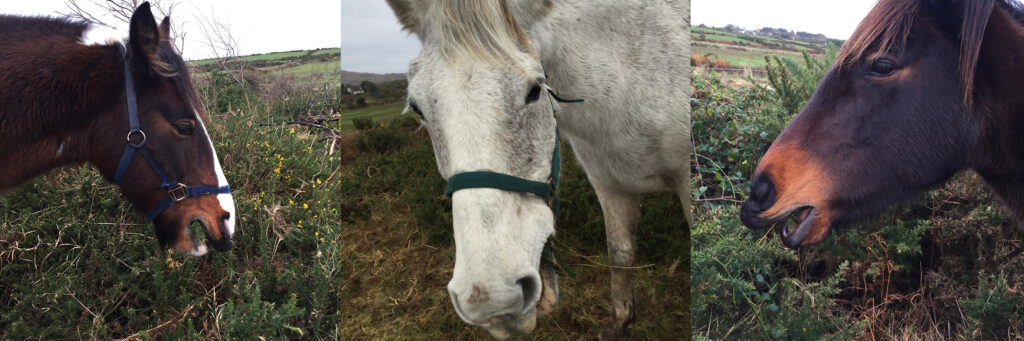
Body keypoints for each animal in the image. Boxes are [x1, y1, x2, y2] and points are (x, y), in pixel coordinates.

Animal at [387, 0, 692, 337]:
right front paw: (620, 324)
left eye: (535, 89)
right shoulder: (609, 185)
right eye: (417, 108)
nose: (491, 301)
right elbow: (620, 253)